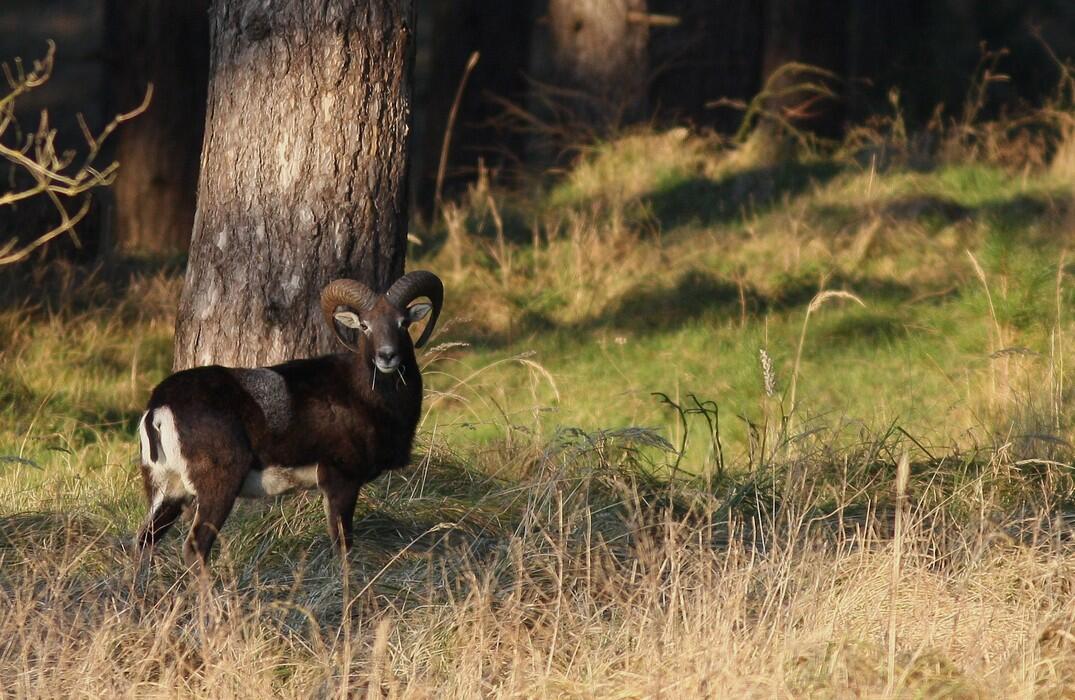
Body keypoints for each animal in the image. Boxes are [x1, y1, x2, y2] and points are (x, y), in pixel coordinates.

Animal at [135, 270, 445, 567]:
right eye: (365, 325)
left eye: (402, 323)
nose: (387, 356)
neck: (365, 395)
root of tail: (160, 408)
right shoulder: (340, 481)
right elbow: (342, 547)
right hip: (217, 488)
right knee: (195, 547)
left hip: (167, 492)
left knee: (144, 541)